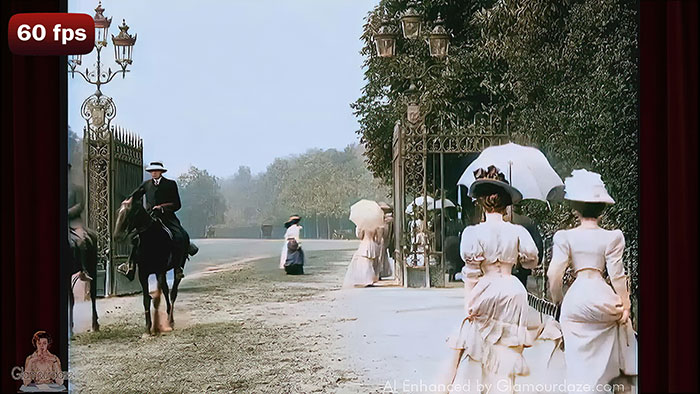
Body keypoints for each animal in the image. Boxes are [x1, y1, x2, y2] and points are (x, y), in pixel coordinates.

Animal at [113, 197, 187, 332]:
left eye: (131, 212)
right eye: (118, 211)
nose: (117, 236)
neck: (151, 238)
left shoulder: (159, 270)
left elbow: (158, 298)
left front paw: (157, 326)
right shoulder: (143, 273)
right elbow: (146, 299)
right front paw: (148, 327)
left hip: (176, 267)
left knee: (173, 292)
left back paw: (170, 320)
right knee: (165, 290)